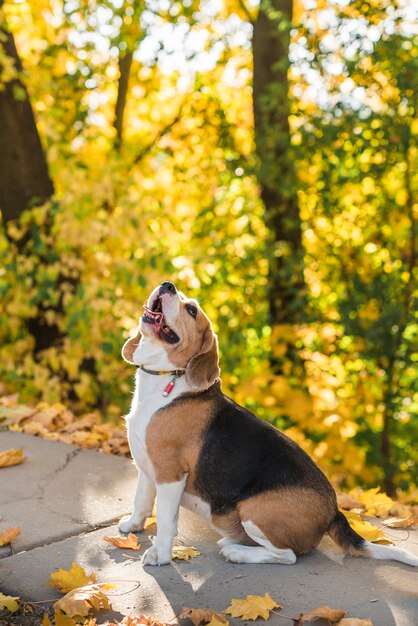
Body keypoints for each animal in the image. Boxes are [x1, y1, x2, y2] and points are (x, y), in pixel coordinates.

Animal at [118, 280, 418, 564]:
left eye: (191, 310)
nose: (167, 285)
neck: (167, 379)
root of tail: (334, 512)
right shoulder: (147, 466)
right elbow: (141, 500)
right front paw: (133, 526)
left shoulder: (170, 473)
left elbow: (166, 520)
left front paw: (160, 554)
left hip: (254, 510)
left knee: (287, 556)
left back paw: (237, 552)